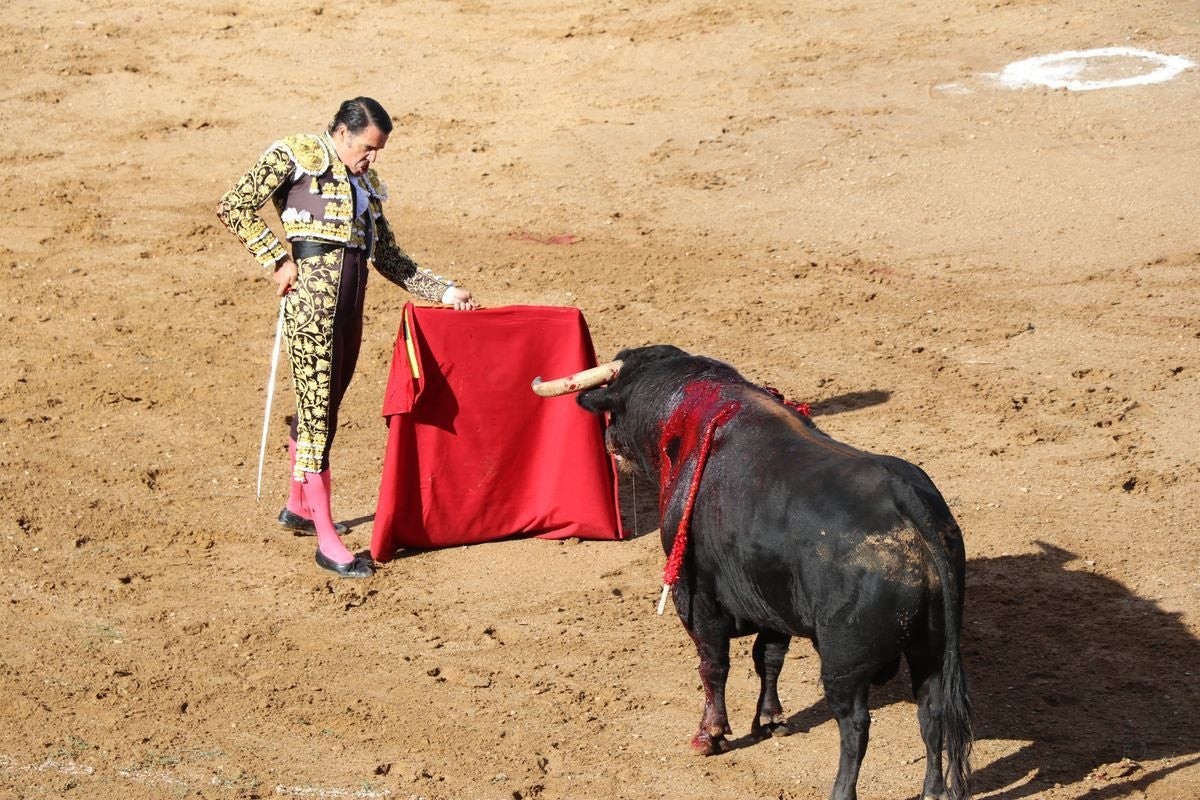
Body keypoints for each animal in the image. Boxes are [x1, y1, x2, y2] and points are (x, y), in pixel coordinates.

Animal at [537, 345, 974, 800]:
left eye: (613, 408)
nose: (608, 443)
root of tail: (911, 507)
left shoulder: (696, 599)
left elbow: (714, 665)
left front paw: (709, 735)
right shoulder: (772, 601)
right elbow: (769, 657)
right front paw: (769, 719)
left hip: (844, 663)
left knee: (855, 724)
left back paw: (841, 790)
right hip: (931, 646)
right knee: (932, 711)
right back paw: (933, 790)